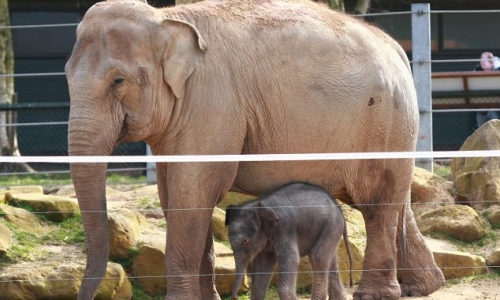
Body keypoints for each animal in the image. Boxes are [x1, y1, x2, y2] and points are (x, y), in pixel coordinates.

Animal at [225, 182, 354, 298]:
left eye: (245, 241)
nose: (235, 297)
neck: (262, 205)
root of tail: (339, 208)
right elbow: (261, 267)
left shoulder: (285, 229)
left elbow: (292, 259)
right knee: (330, 260)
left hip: (331, 225)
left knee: (318, 256)